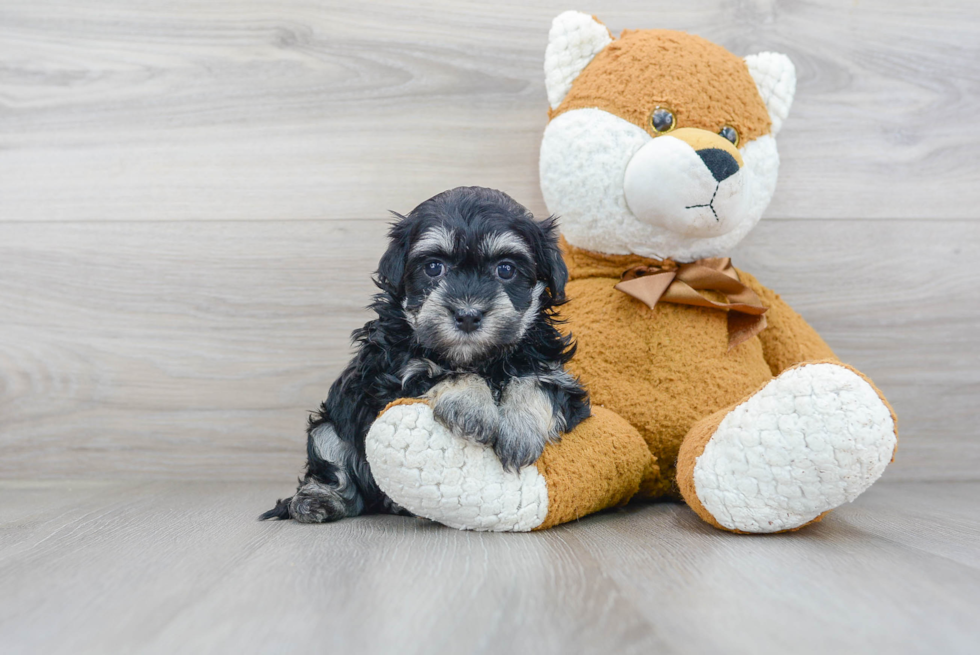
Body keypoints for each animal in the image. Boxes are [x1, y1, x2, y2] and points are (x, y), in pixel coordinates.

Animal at [260, 187, 588, 524]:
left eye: (506, 269)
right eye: (433, 267)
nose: (467, 315)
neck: (481, 358)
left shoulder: (556, 374)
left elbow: (536, 382)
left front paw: (519, 430)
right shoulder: (390, 375)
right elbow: (444, 371)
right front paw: (471, 406)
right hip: (329, 430)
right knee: (337, 474)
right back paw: (317, 500)